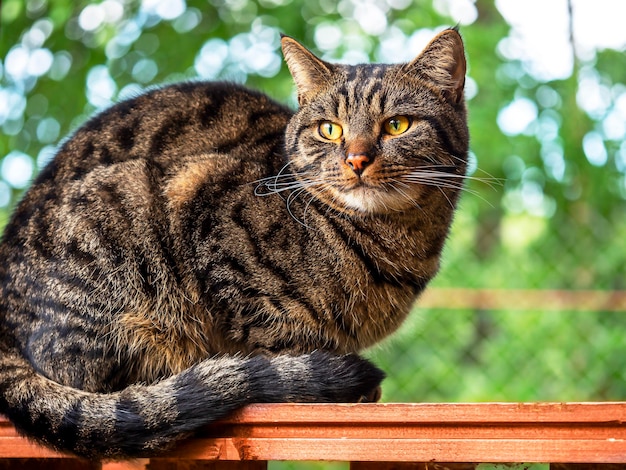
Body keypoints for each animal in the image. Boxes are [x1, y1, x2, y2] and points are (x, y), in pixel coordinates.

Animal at [0, 28, 466, 458]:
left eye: (397, 125)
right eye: (330, 130)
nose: (356, 159)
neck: (394, 242)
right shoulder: (205, 210)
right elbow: (269, 327)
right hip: (122, 205)